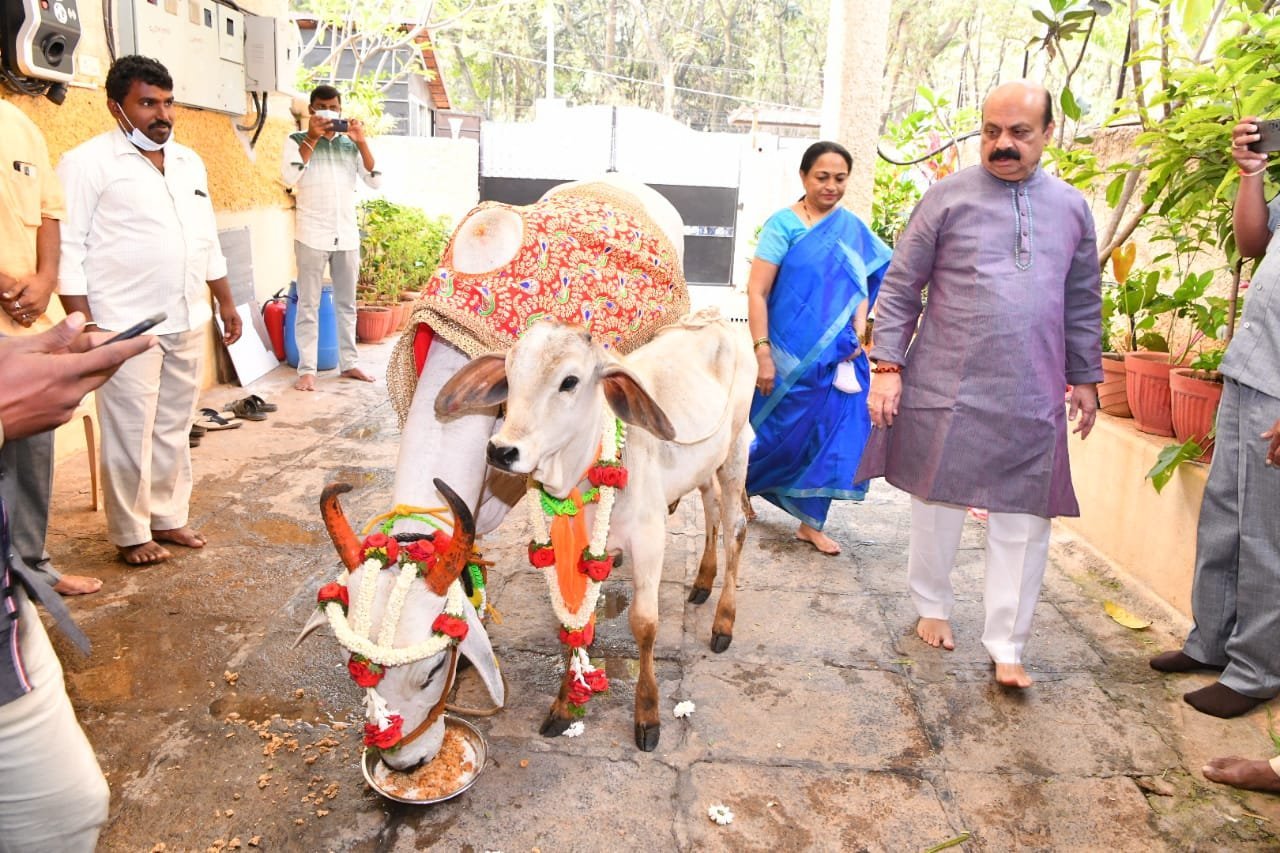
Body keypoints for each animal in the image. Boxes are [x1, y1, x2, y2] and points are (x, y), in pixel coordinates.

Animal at [436, 310, 755, 750]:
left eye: (569, 381)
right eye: (510, 375)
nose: (501, 450)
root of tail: (716, 319)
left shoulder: (650, 540)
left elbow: (644, 624)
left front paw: (648, 714)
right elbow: (574, 624)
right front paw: (563, 705)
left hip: (737, 450)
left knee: (734, 525)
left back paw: (723, 621)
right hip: (707, 465)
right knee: (710, 510)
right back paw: (703, 581)